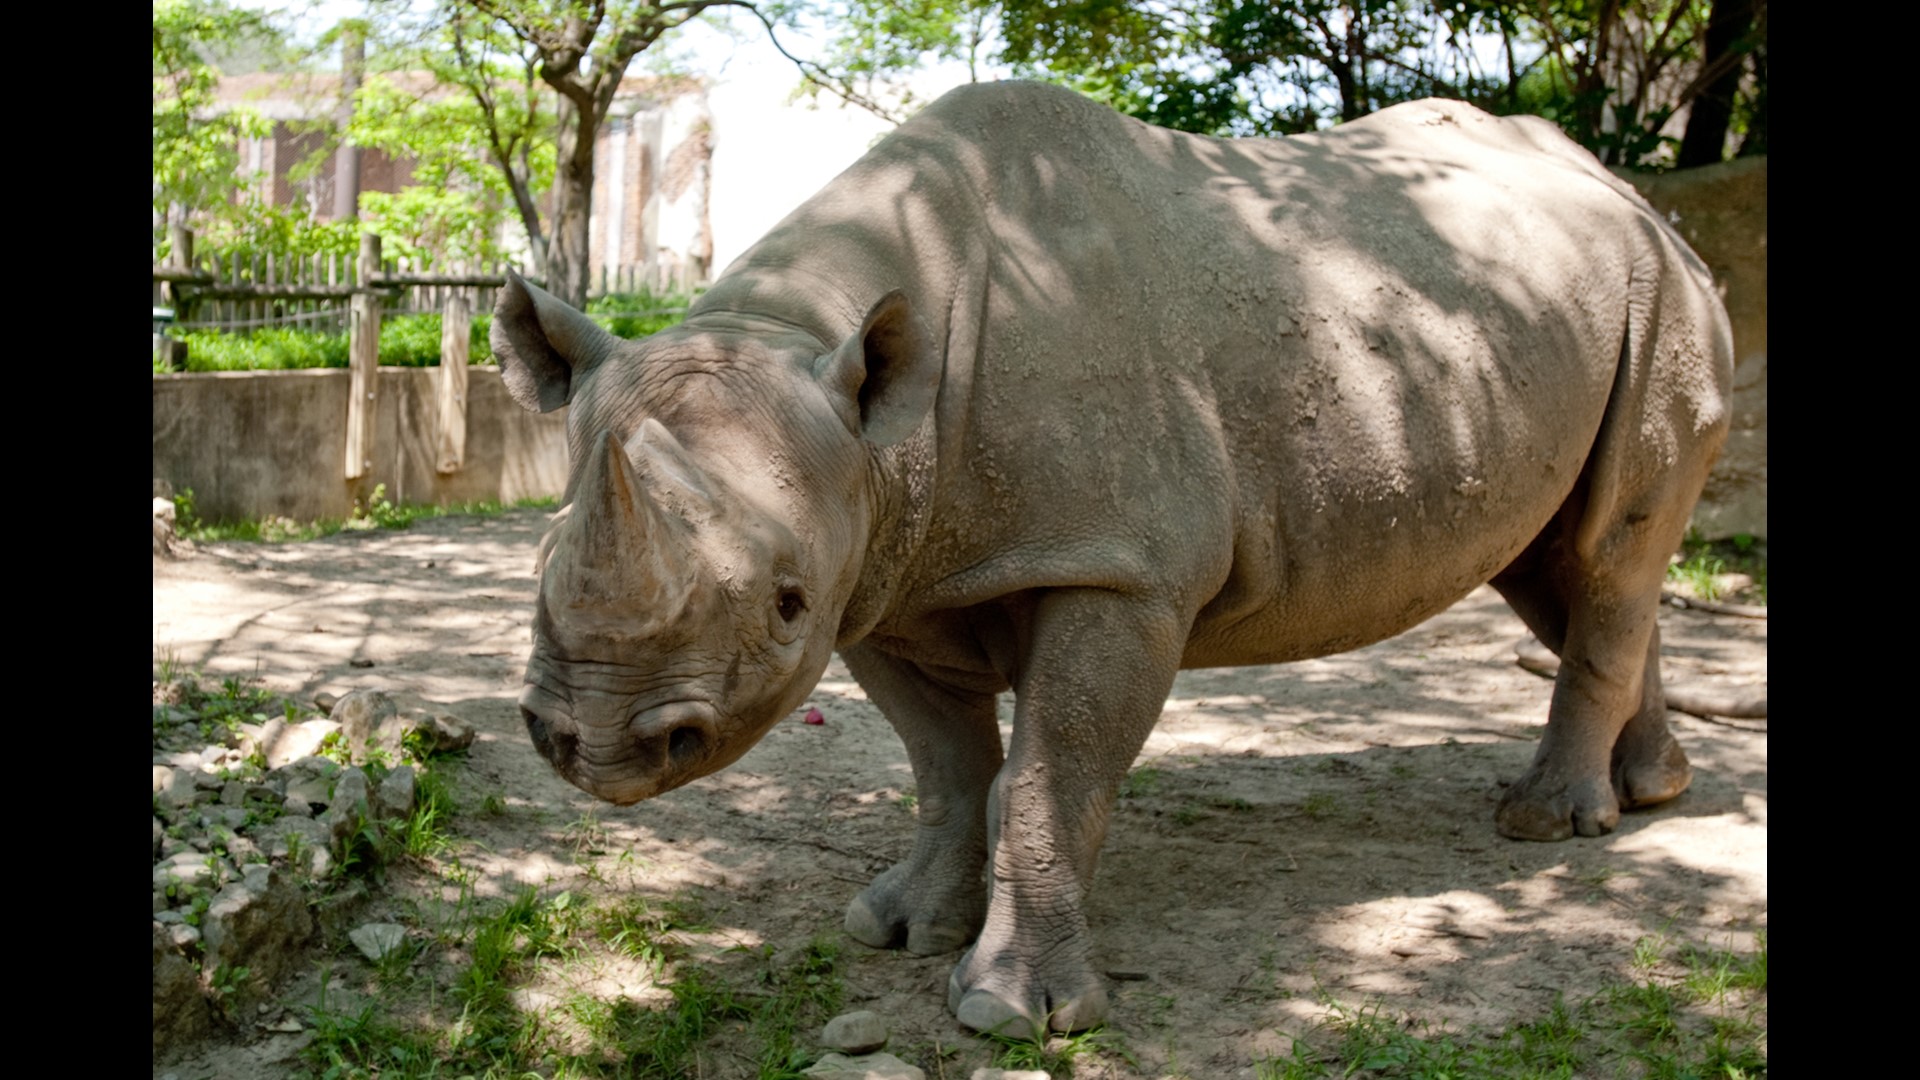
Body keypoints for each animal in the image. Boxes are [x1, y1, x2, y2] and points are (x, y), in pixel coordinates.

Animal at [495, 81, 1731, 1039]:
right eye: (543, 553)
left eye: (786, 604)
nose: (598, 744)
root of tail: (1645, 203)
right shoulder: (886, 564)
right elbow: (947, 765)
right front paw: (897, 927)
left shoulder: (1119, 567)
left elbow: (1054, 775)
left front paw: (1015, 1014)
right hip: (1543, 319)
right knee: (1557, 561)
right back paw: (1651, 792)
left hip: (1660, 295)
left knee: (1607, 555)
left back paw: (1548, 825)